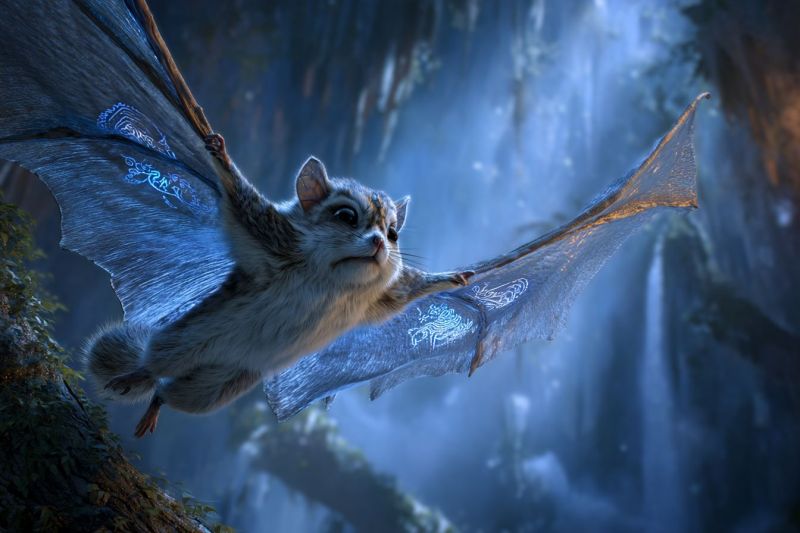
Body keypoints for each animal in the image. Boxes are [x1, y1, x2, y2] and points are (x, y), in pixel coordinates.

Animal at [86, 134, 472, 437]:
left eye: (393, 234)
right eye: (345, 216)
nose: (379, 243)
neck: (334, 283)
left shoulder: (378, 300)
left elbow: (406, 294)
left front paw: (451, 279)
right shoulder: (271, 239)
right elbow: (242, 202)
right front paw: (221, 157)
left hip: (216, 387)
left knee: (168, 393)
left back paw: (154, 405)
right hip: (182, 340)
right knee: (154, 369)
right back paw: (131, 377)